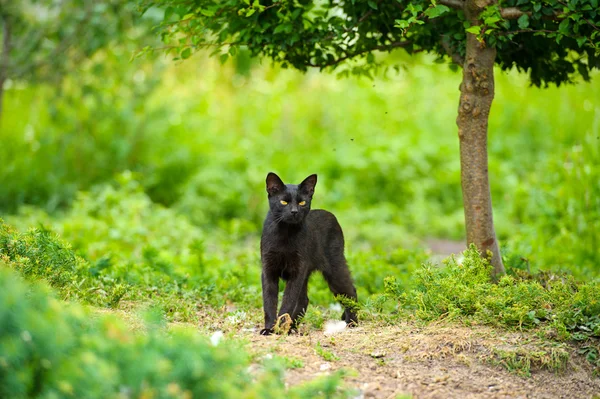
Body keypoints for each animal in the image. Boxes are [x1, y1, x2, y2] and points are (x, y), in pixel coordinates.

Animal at [258, 173, 356, 336]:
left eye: (302, 202)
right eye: (283, 202)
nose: (294, 211)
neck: (285, 234)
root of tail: (332, 216)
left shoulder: (297, 271)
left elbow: (288, 301)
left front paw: (280, 328)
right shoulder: (268, 269)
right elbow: (269, 301)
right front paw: (269, 328)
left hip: (334, 270)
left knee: (351, 291)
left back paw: (352, 322)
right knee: (304, 300)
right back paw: (292, 327)